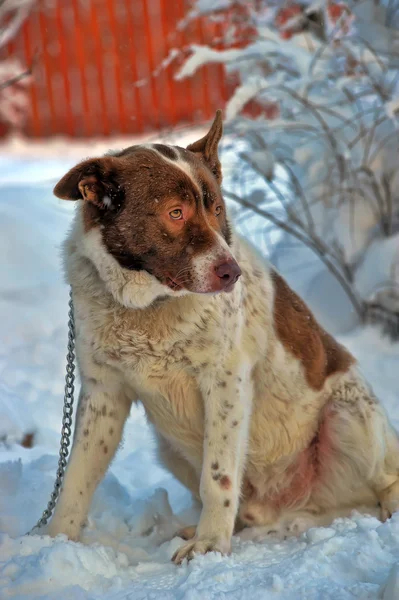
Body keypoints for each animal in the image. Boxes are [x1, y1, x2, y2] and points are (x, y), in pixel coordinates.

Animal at [47, 111, 399, 564]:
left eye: (216, 208)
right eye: (176, 213)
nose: (231, 273)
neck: (149, 308)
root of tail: (284, 508)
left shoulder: (225, 381)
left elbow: (217, 478)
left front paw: (210, 544)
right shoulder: (103, 392)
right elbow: (77, 476)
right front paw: (53, 542)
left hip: (346, 415)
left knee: (381, 485)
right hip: (170, 448)